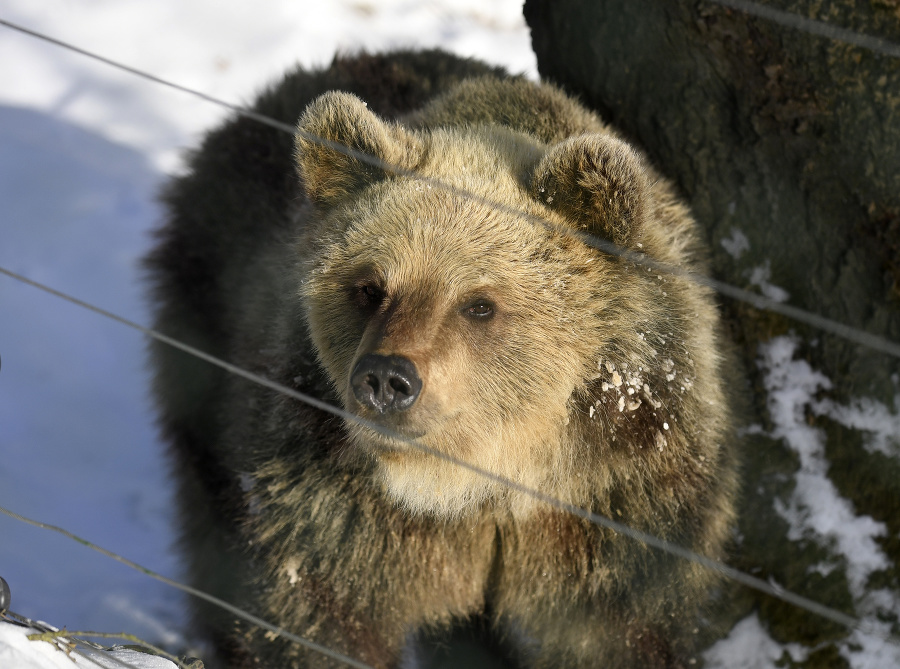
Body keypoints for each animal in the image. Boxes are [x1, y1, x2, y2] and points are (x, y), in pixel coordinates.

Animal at [146, 49, 740, 664]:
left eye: (478, 304)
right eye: (370, 288)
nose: (387, 378)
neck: (481, 484)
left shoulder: (621, 507)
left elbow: (619, 631)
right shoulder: (334, 497)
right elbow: (310, 610)